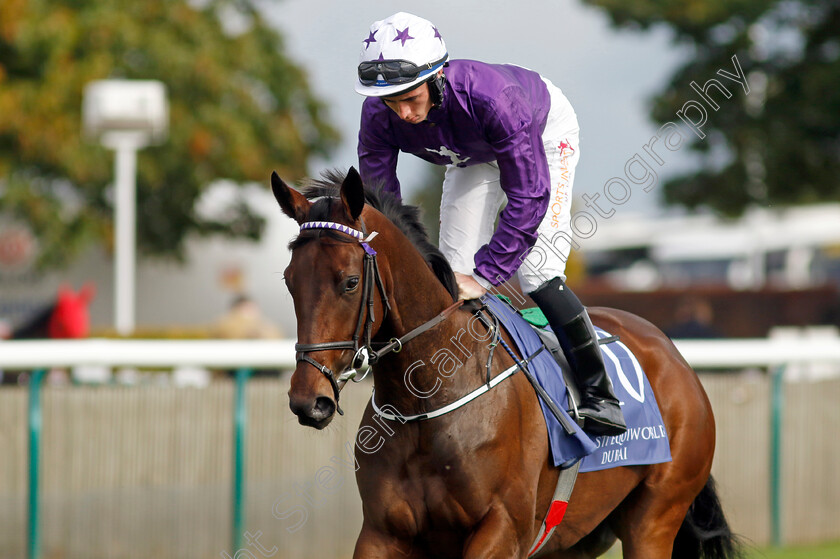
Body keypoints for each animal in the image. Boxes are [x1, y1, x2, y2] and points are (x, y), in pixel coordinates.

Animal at [272, 170, 740, 559]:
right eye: (289, 281)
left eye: (350, 282)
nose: (308, 400)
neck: (426, 400)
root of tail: (674, 356)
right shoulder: (382, 533)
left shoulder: (502, 529)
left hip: (655, 519)